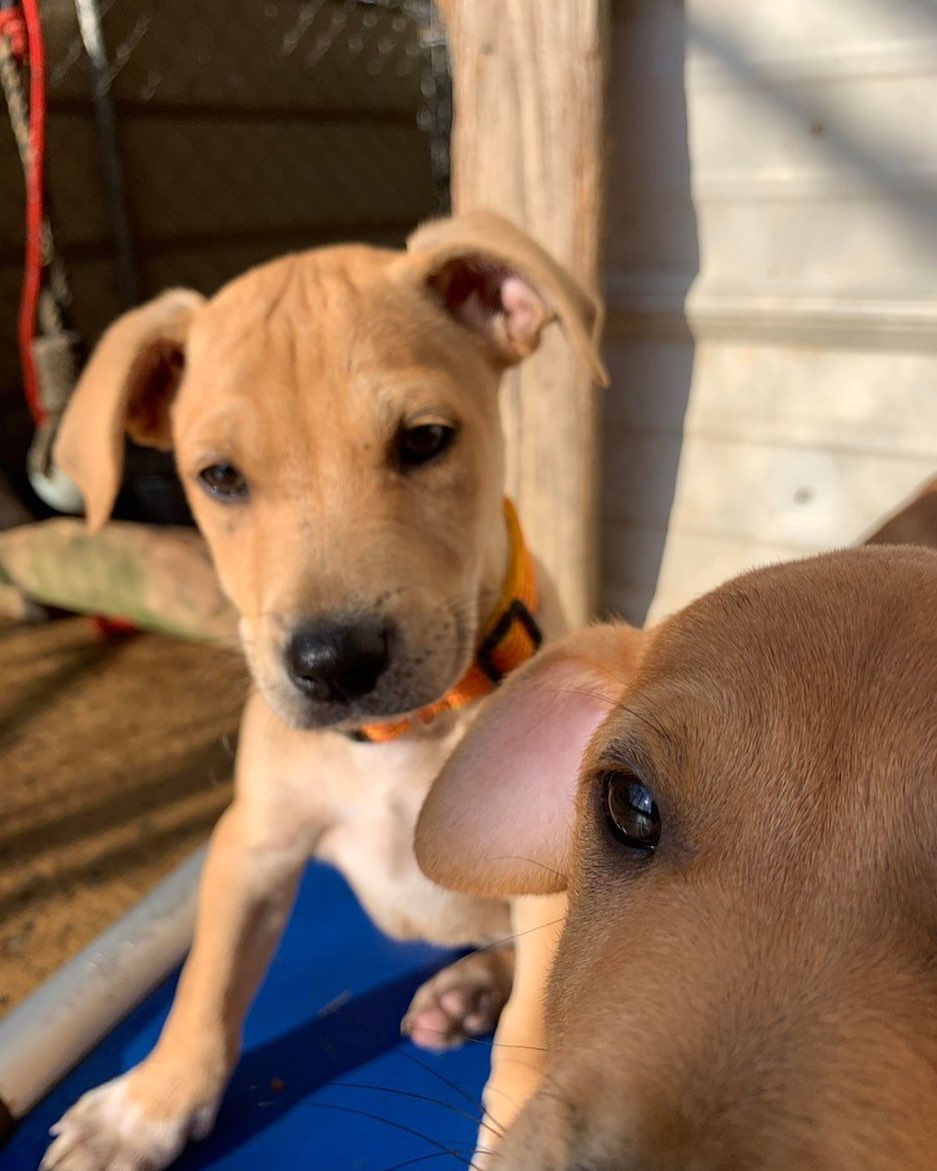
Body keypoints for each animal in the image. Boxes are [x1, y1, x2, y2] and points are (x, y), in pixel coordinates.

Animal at [40, 213, 609, 1171]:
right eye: (218, 476)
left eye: (424, 439)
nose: (334, 662)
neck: (407, 735)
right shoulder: (252, 841)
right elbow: (206, 982)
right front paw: (147, 1107)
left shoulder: (554, 874)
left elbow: (532, 1033)